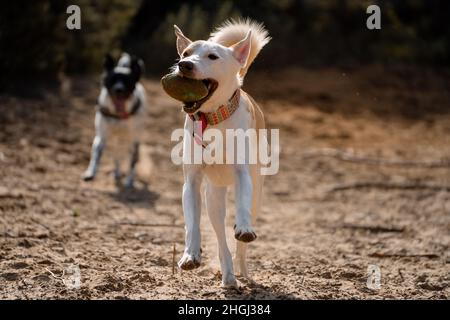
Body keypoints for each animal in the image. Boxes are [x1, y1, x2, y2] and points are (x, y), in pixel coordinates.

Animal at [83, 52, 147, 188]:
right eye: (112, 80)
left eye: (127, 81)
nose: (119, 90)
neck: (118, 115)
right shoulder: (101, 137)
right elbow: (96, 155)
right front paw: (90, 172)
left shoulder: (134, 141)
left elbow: (132, 163)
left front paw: (129, 180)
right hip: (114, 141)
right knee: (116, 156)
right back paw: (116, 173)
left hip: (133, 142)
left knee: (132, 158)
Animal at [172, 20, 270, 286]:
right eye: (185, 54)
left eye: (212, 56)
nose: (184, 65)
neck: (213, 119)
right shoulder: (191, 182)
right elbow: (192, 223)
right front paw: (190, 255)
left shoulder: (242, 174)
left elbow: (243, 208)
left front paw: (243, 228)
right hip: (213, 198)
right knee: (220, 239)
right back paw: (228, 275)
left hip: (257, 194)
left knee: (240, 244)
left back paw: (243, 270)